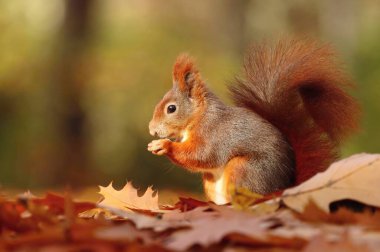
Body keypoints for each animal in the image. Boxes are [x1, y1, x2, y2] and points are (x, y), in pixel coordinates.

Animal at [148, 39, 360, 205]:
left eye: (171, 108)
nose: (152, 130)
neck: (199, 116)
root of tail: (284, 188)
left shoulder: (213, 133)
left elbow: (202, 154)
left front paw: (164, 145)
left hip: (243, 169)